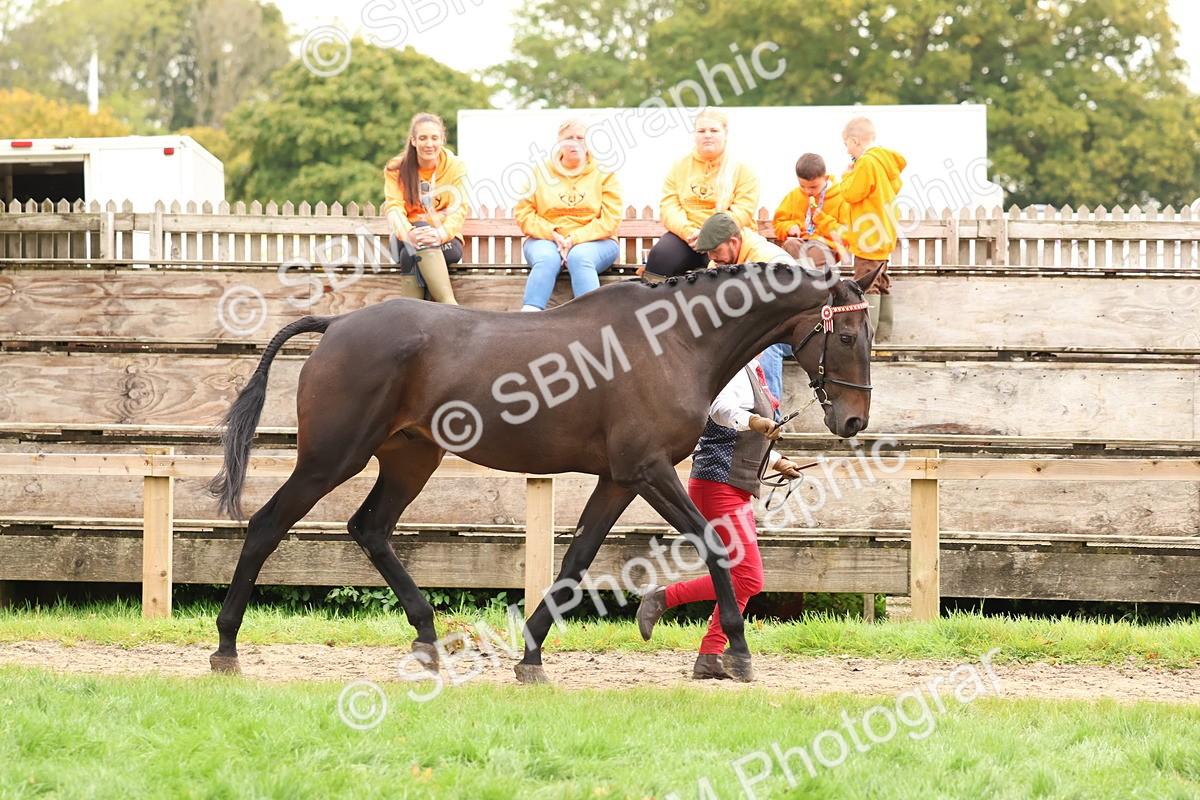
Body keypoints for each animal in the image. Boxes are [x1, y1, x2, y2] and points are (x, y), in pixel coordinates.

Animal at [207, 261, 879, 683]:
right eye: (846, 335)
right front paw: (738, 653)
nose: (853, 419)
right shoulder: (648, 471)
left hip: (410, 458)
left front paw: (529, 656)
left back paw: (428, 638)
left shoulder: (619, 479)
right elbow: (714, 545)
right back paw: (226, 646)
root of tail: (339, 324)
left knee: (369, 529)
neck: (675, 343)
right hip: (331, 458)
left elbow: (576, 559)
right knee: (267, 526)